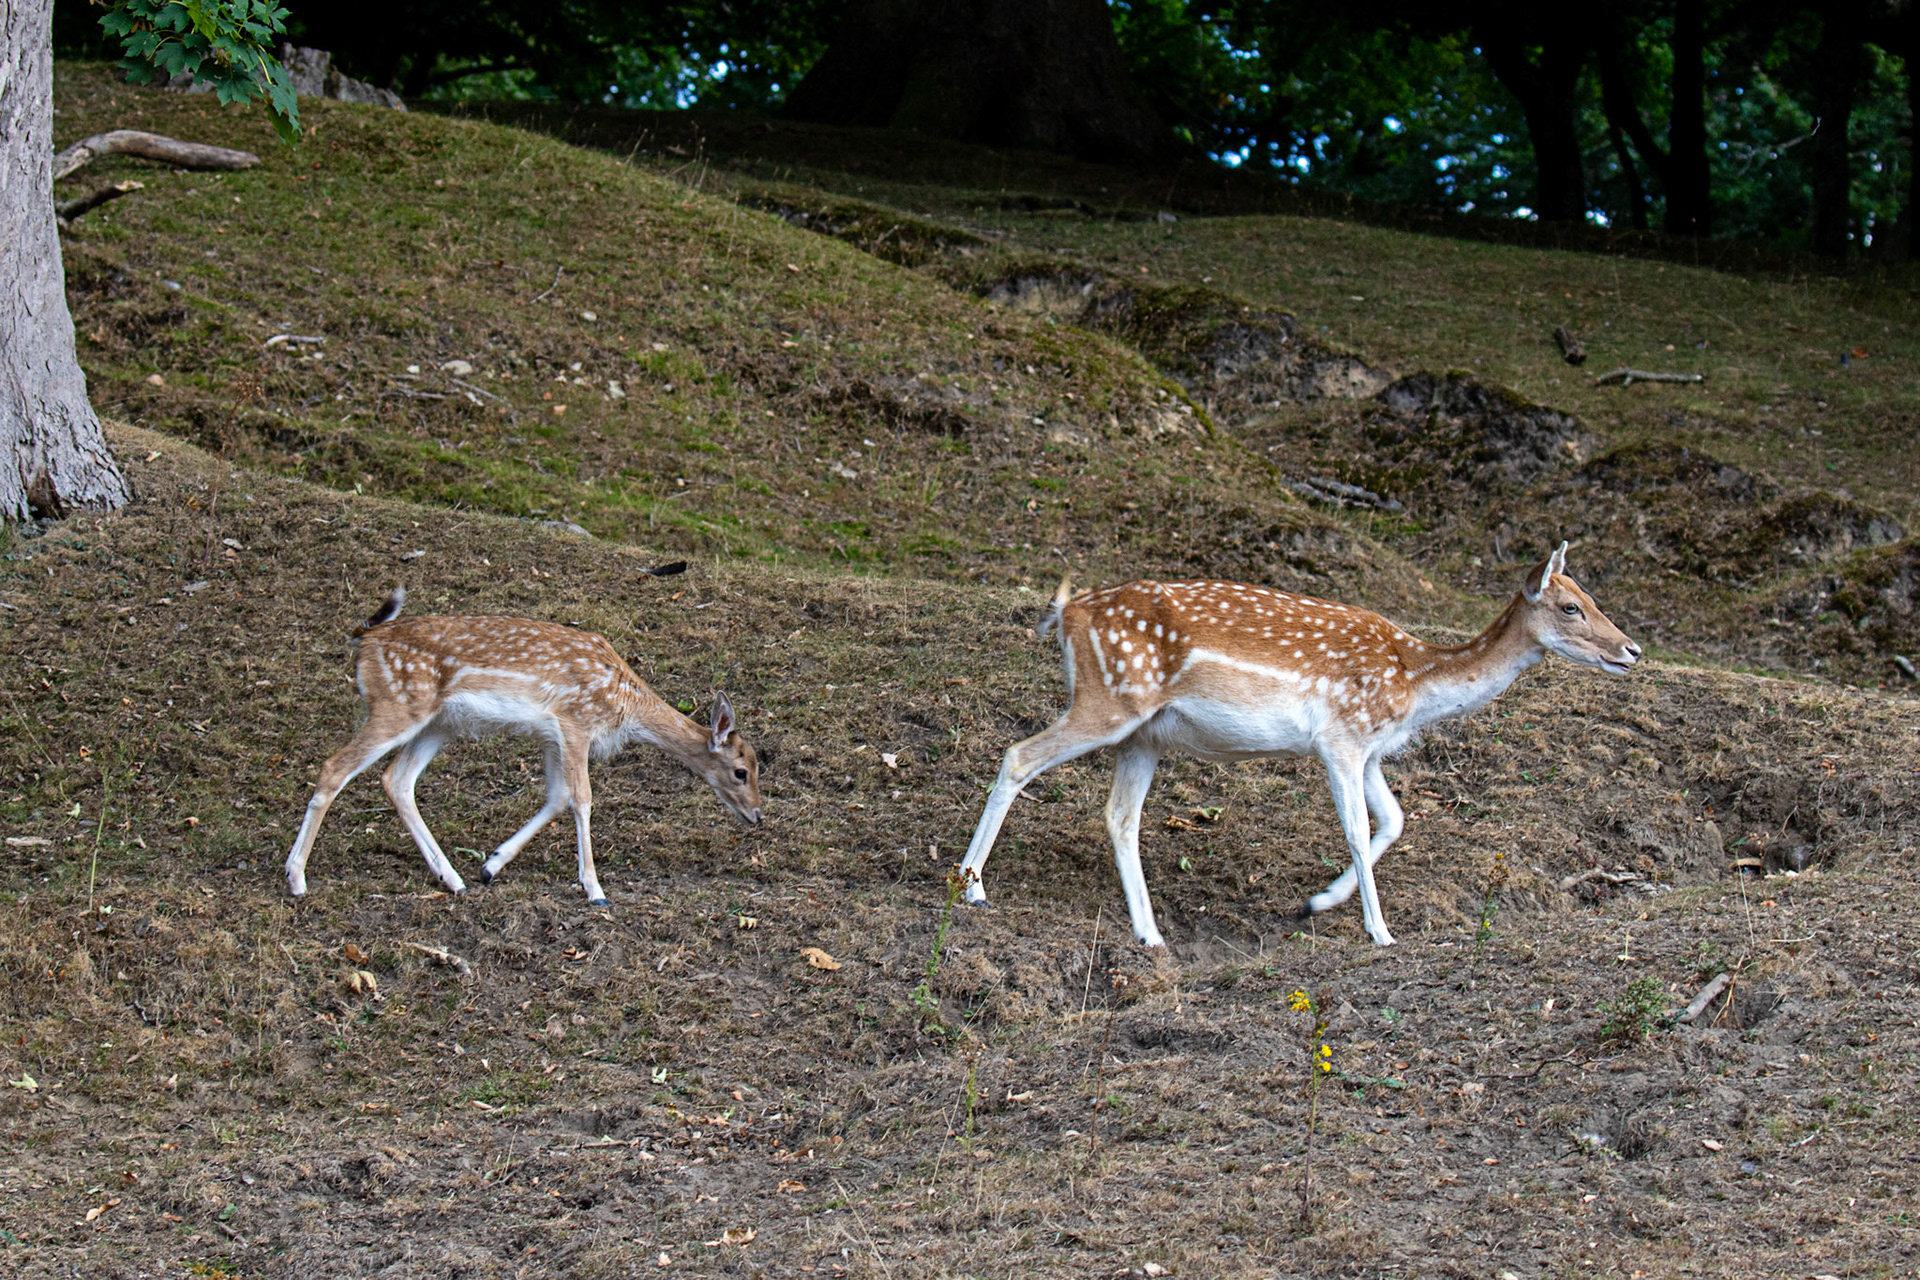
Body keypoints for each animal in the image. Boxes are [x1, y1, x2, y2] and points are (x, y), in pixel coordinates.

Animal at [284, 587, 762, 904]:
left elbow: (556, 798)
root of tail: (363, 639)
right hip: (397, 703)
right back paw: (297, 879)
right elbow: (582, 798)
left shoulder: (551, 736)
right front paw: (595, 889)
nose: (757, 815)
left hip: (439, 724)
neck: (625, 702)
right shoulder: (574, 722)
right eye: (741, 771)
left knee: (396, 779)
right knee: (334, 767)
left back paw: (452, 878)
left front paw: (491, 864)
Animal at [956, 543, 1639, 947]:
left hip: (1146, 734)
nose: (1631, 649)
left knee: (1120, 815)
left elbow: (1396, 819)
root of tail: (1065, 614)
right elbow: (1360, 830)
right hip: (1108, 700)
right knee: (1018, 756)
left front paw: (1317, 902)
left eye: (1595, 597)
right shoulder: (1339, 737)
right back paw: (972, 888)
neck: (1415, 681)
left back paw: (1151, 935)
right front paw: (1380, 933)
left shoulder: (1369, 747)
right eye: (1571, 607)